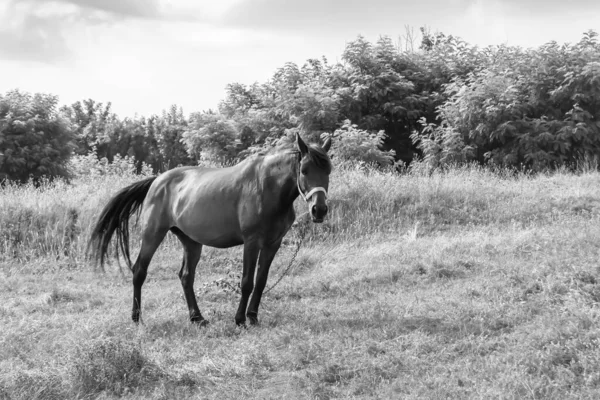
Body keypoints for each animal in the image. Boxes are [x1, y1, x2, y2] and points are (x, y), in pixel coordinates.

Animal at [89, 133, 332, 326]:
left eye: (328, 171)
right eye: (304, 170)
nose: (319, 210)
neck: (267, 188)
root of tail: (157, 181)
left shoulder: (273, 243)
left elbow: (261, 281)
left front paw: (253, 317)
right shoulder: (252, 242)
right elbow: (247, 282)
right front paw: (240, 319)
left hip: (191, 242)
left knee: (186, 277)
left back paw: (197, 318)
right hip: (152, 234)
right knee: (139, 270)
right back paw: (137, 318)